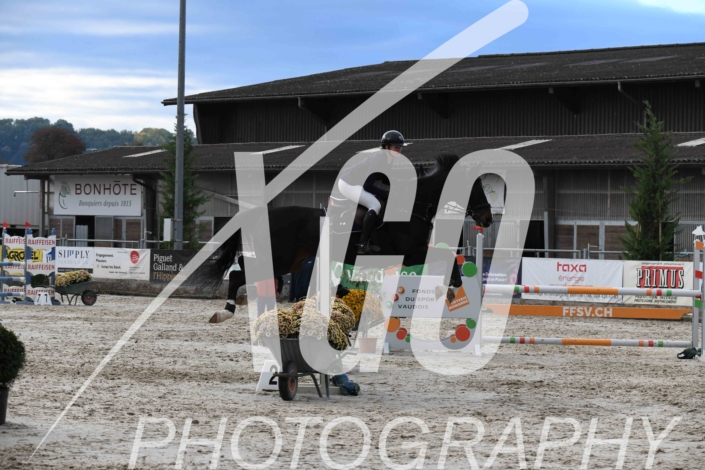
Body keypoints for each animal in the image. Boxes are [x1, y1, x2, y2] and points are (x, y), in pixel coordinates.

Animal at [204, 153, 493, 323]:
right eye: (476, 188)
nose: (487, 219)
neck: (412, 207)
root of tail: (262, 213)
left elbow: (449, 256)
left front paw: (451, 288)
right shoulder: (411, 253)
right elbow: (448, 256)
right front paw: (452, 288)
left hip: (289, 261)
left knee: (245, 269)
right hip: (281, 258)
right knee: (240, 273)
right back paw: (224, 311)